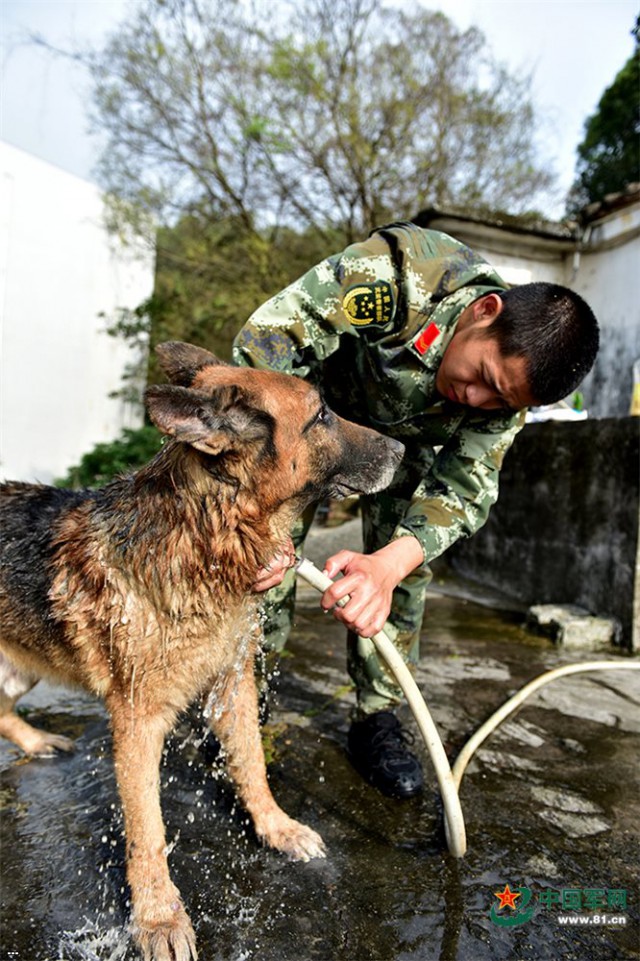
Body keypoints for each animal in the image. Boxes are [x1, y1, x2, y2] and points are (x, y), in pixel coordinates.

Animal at [0, 344, 402, 960]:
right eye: (321, 416)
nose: (405, 451)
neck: (207, 534)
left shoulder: (233, 684)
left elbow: (252, 765)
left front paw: (277, 827)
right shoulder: (138, 722)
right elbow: (147, 829)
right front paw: (158, 918)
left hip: (20, 665)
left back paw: (37, 740)